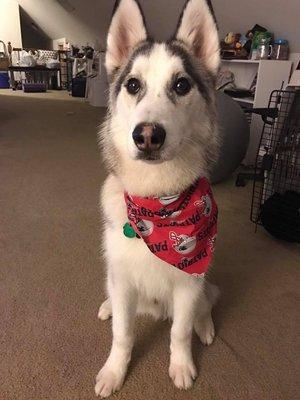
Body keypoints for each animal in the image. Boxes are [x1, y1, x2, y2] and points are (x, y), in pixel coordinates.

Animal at [95, 0, 220, 396]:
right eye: (133, 85)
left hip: (204, 281)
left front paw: (181, 366)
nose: (148, 135)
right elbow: (122, 333)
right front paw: (114, 372)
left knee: (207, 302)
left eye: (181, 85)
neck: (159, 202)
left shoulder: (189, 283)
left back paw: (205, 326)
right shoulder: (122, 280)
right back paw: (106, 305)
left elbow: (180, 331)